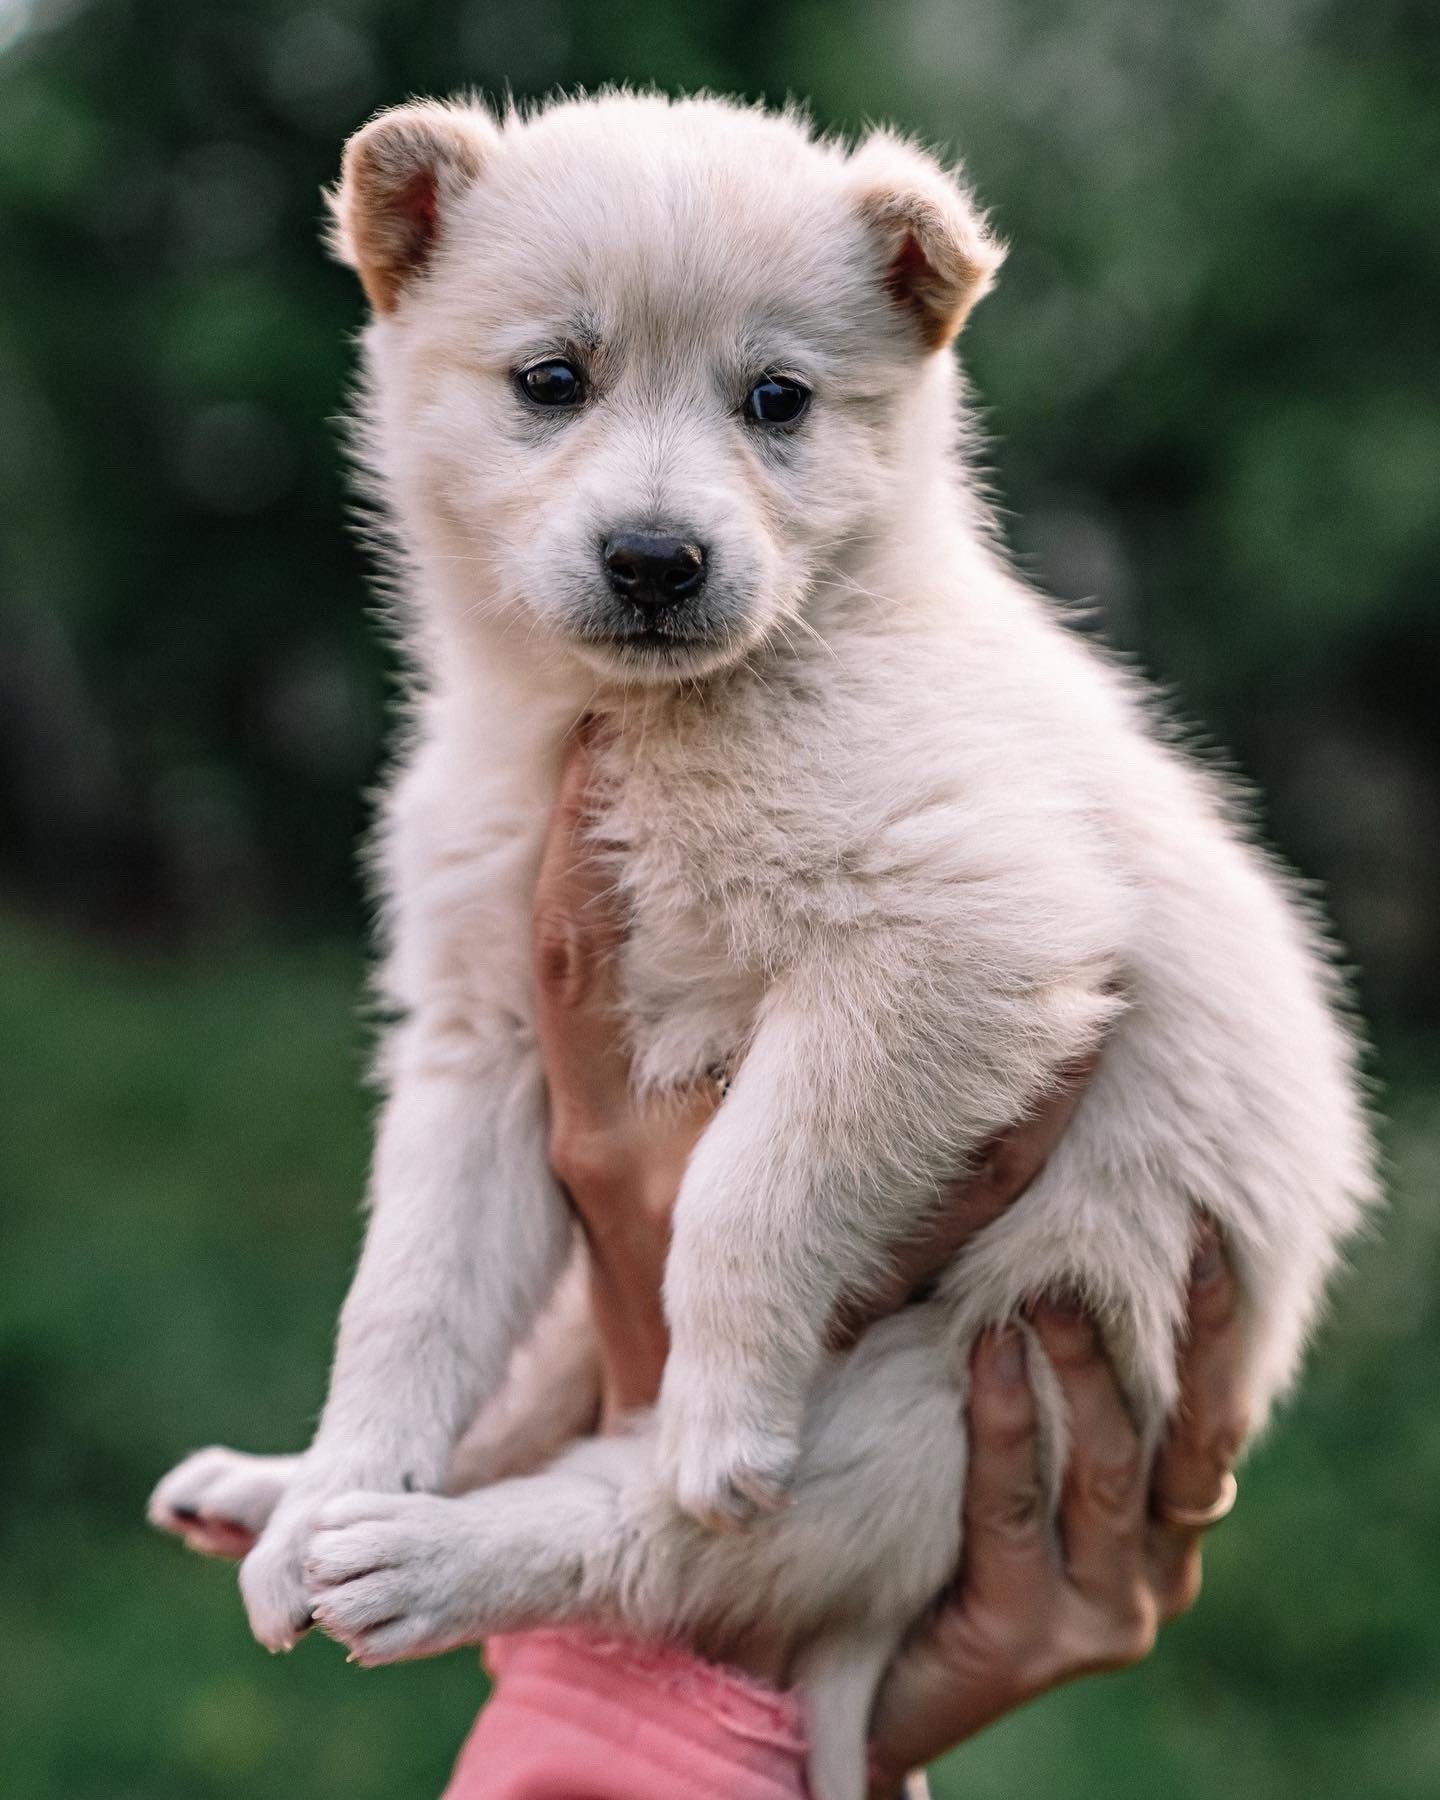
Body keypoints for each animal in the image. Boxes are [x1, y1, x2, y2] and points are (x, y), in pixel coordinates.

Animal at [152, 94, 1375, 1800]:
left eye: (777, 398)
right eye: (552, 381)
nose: (657, 561)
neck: (662, 719)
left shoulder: (959, 936)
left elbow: (750, 1184)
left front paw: (718, 1405)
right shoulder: (487, 1039)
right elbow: (408, 1295)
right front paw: (342, 1470)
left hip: (948, 1391)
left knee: (652, 1538)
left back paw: (427, 1556)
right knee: (535, 1406)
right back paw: (294, 1501)